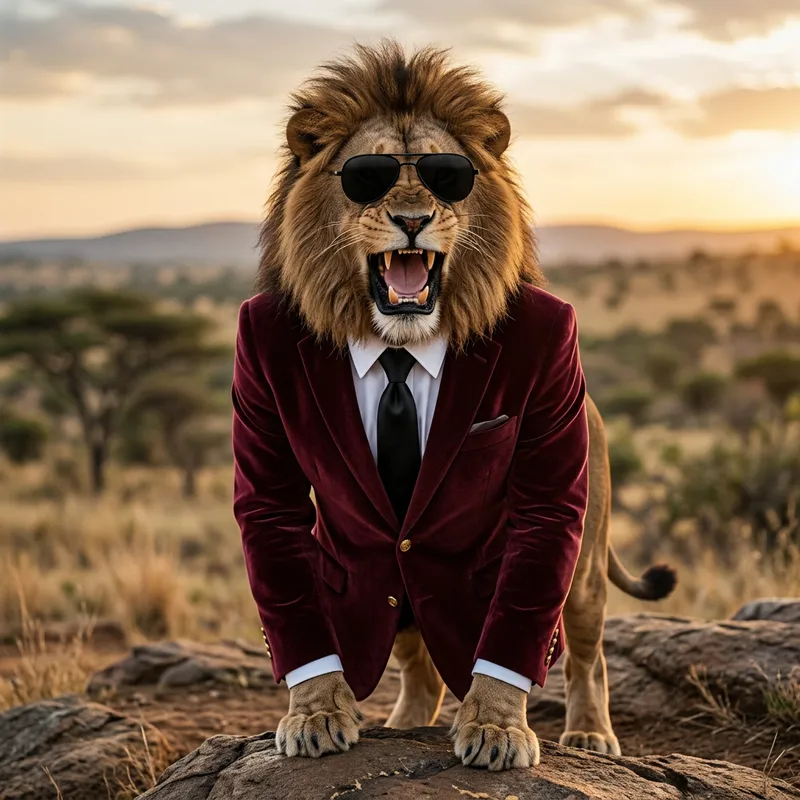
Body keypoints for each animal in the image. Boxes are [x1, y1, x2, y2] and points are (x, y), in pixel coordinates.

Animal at [253, 40, 676, 767]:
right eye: (366, 178)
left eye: (447, 176)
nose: (412, 219)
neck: (399, 342)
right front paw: (315, 713)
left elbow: (514, 640)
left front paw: (498, 727)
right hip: (392, 572)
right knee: (417, 655)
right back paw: (403, 722)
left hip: (585, 559)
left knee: (584, 652)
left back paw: (591, 734)